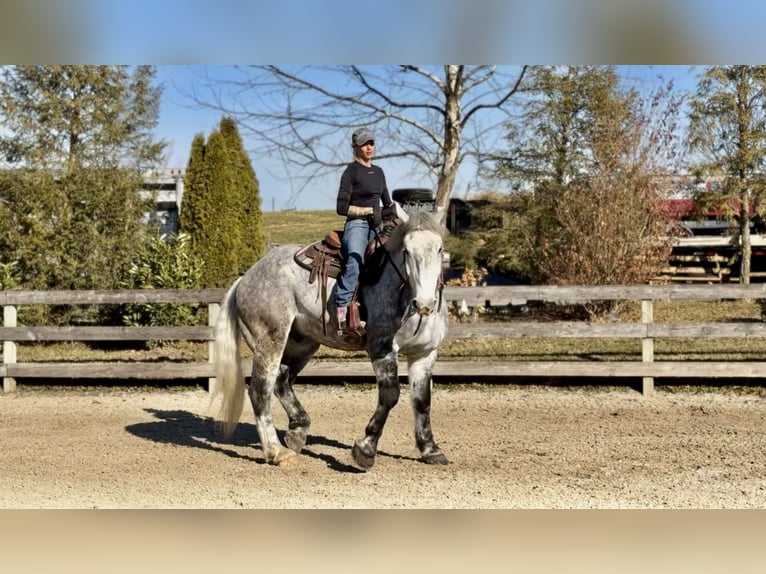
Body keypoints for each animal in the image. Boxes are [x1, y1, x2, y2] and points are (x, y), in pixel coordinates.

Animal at [212, 207, 450, 470]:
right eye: (406, 251)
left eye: (439, 248)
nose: (424, 303)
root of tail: (245, 279)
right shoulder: (381, 349)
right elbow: (390, 395)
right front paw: (365, 449)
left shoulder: (424, 355)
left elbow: (422, 401)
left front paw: (430, 449)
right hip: (269, 340)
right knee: (260, 390)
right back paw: (277, 452)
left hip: (302, 343)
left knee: (281, 381)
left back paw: (297, 431)